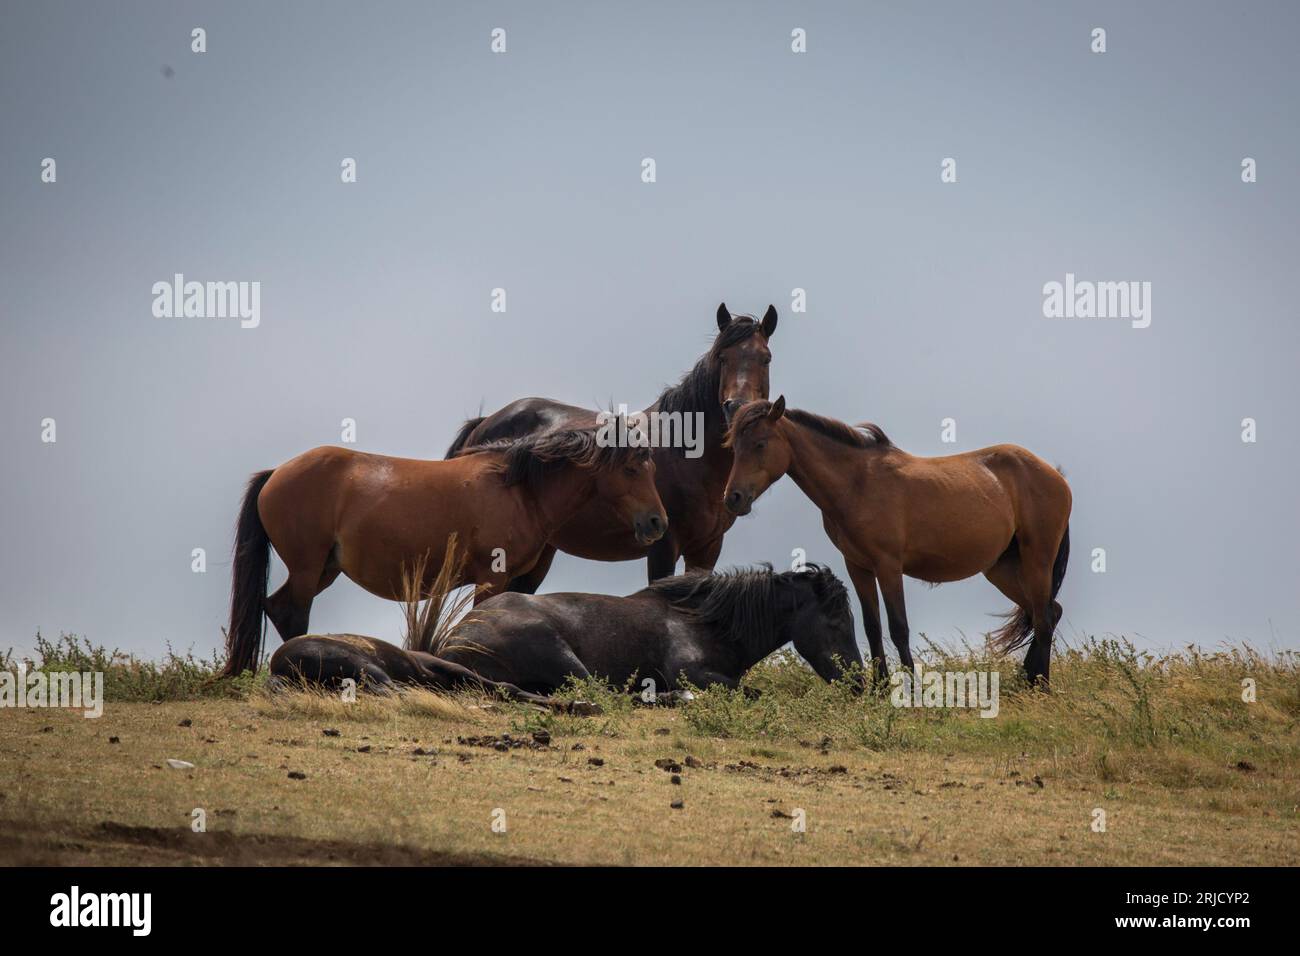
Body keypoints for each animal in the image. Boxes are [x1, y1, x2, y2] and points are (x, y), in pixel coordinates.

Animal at [219, 429, 665, 676]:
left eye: (651, 469)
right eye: (631, 469)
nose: (657, 523)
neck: (519, 490)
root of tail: (277, 472)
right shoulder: (492, 578)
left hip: (324, 568)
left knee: (278, 607)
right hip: (308, 567)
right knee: (292, 611)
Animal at [441, 304, 774, 590]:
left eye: (765, 358)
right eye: (722, 357)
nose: (737, 407)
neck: (687, 454)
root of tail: (484, 423)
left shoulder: (707, 549)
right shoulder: (663, 546)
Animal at [728, 398, 1071, 686]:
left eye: (760, 443)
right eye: (733, 446)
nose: (733, 498)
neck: (857, 483)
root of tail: (1054, 475)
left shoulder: (888, 566)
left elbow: (898, 627)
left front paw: (911, 690)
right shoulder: (858, 567)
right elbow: (873, 627)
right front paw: (879, 688)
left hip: (1037, 560)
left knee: (1043, 618)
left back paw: (1041, 685)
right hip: (1002, 569)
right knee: (1048, 611)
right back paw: (1028, 680)